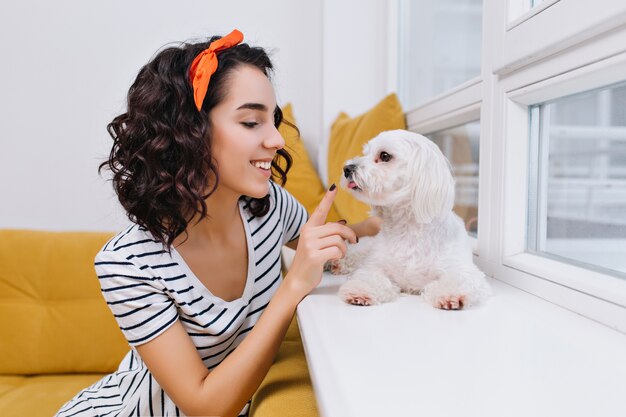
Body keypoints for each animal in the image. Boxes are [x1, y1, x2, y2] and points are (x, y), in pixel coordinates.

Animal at [330, 130, 490, 308]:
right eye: (366, 153)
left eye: (384, 155)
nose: (347, 168)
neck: (407, 229)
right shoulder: (375, 264)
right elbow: (370, 276)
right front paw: (362, 290)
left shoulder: (461, 268)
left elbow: (458, 278)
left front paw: (451, 295)